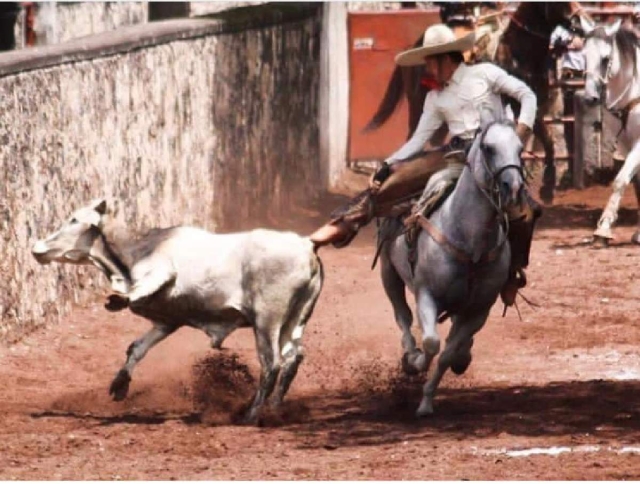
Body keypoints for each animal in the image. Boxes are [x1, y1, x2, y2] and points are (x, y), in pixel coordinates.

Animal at [380, 108, 524, 416]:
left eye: (520, 148)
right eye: (488, 148)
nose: (514, 187)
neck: (470, 241)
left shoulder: (478, 310)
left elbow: (446, 353)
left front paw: (425, 401)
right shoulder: (426, 294)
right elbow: (431, 343)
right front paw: (415, 363)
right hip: (389, 273)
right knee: (403, 316)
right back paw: (410, 353)